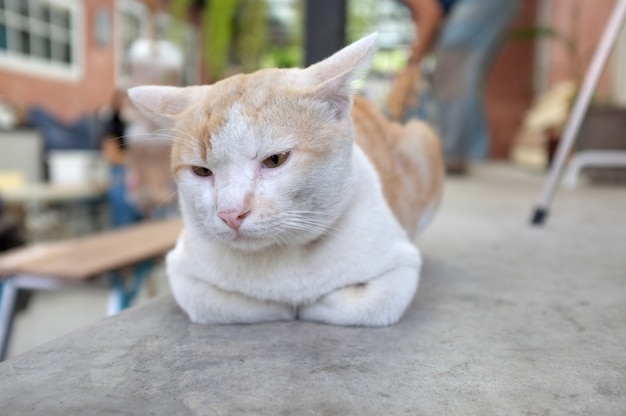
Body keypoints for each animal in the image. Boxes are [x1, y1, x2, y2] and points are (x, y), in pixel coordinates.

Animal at [127, 32, 442, 326]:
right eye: (202, 171)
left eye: (275, 159)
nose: (230, 213)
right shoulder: (182, 270)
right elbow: (222, 303)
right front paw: (281, 306)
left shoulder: (402, 264)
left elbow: (364, 304)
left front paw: (308, 304)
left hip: (422, 138)